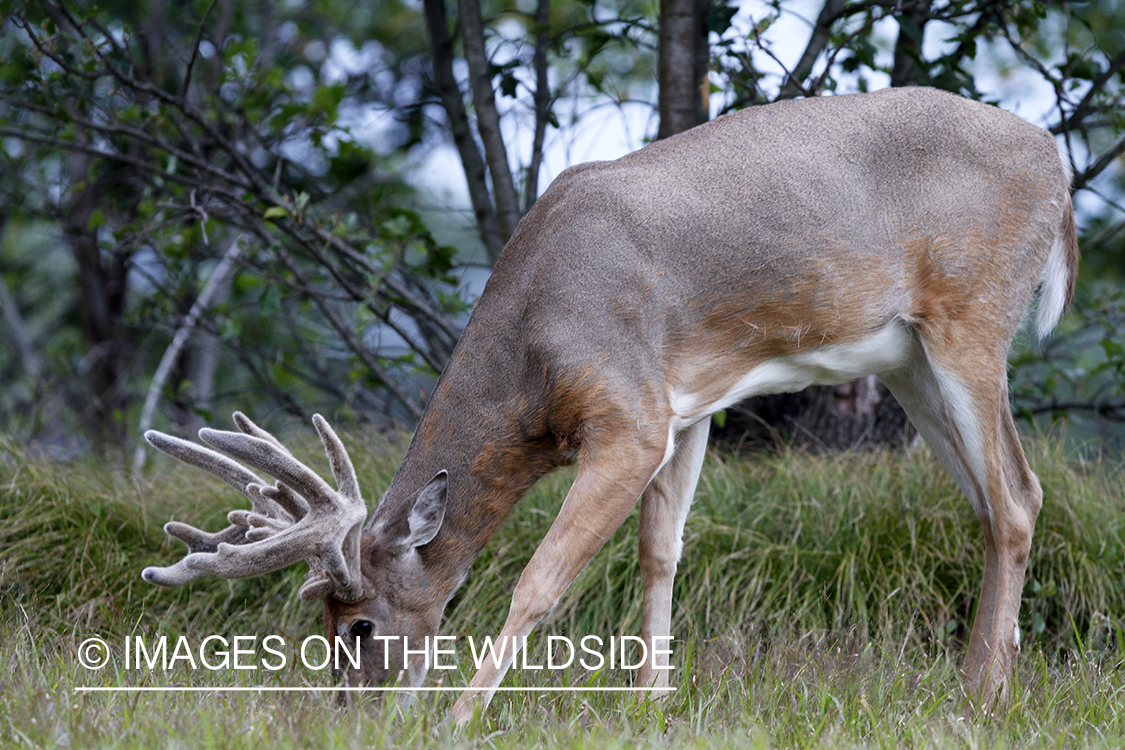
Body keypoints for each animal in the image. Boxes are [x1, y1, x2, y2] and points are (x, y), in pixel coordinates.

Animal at [140, 86, 1071, 719]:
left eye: (358, 624)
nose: (353, 714)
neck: (532, 359)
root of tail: (1058, 169)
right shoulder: (683, 408)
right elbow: (660, 553)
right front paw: (650, 703)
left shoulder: (627, 414)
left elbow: (539, 579)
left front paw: (458, 717)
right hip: (908, 359)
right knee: (990, 504)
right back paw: (971, 685)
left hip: (970, 315)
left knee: (1018, 496)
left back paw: (980, 699)